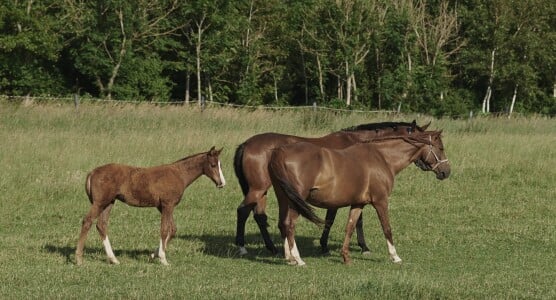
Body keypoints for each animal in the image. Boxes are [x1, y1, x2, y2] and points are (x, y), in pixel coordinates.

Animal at [232, 120, 428, 254]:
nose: (430, 166)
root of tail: (246, 144)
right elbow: (347, 220)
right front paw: (360, 246)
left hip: (263, 190)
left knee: (259, 216)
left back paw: (272, 247)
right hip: (258, 189)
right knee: (243, 211)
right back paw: (242, 247)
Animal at [268, 130, 450, 266]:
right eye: (440, 148)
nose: (446, 172)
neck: (382, 158)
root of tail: (281, 151)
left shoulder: (358, 204)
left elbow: (350, 227)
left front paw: (346, 257)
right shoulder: (381, 201)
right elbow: (387, 228)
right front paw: (395, 256)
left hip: (284, 199)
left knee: (283, 223)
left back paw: (289, 258)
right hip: (295, 201)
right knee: (290, 225)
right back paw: (298, 259)